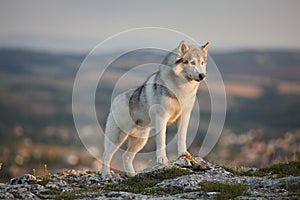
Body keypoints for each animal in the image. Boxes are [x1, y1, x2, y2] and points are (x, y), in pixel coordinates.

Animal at [102, 40, 207, 178]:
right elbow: (161, 141)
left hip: (140, 140)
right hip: (119, 137)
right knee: (106, 155)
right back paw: (106, 176)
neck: (181, 88)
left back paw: (132, 175)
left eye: (202, 63)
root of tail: (116, 99)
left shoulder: (184, 116)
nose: (202, 75)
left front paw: (183, 154)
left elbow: (181, 138)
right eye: (192, 62)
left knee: (126, 156)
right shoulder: (162, 118)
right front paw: (162, 160)